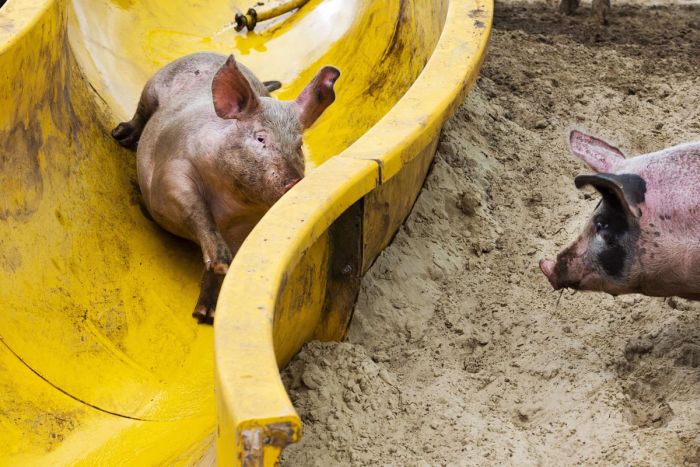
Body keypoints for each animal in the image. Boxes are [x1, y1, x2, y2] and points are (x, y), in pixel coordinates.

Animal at [113, 51, 340, 322]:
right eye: (260, 138)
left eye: (299, 145)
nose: (294, 181)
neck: (231, 203)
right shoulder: (172, 171)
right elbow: (195, 210)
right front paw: (221, 261)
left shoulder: (247, 224)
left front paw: (206, 314)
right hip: (152, 87)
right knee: (140, 112)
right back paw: (120, 134)